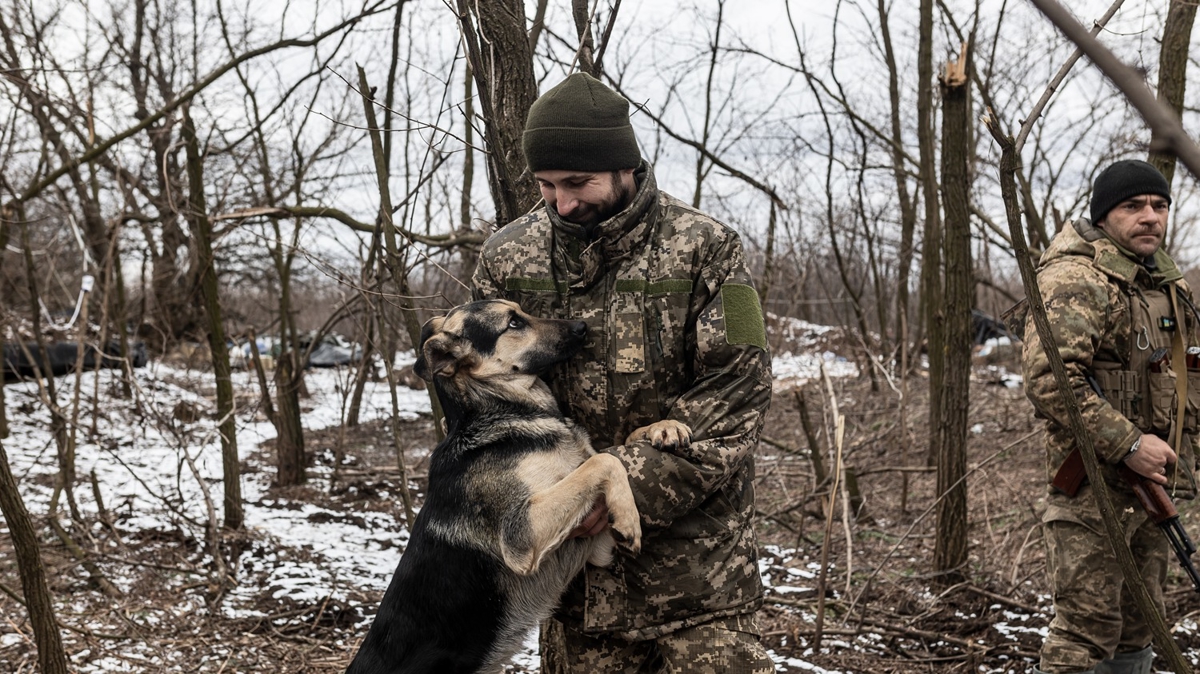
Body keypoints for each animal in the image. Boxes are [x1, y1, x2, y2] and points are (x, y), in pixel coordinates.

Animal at [343, 299, 691, 671]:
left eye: (520, 311)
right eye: (513, 323)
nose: (582, 327)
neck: (503, 410)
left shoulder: (596, 545)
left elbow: (616, 448)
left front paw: (662, 427)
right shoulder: (521, 534)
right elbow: (603, 462)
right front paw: (628, 518)